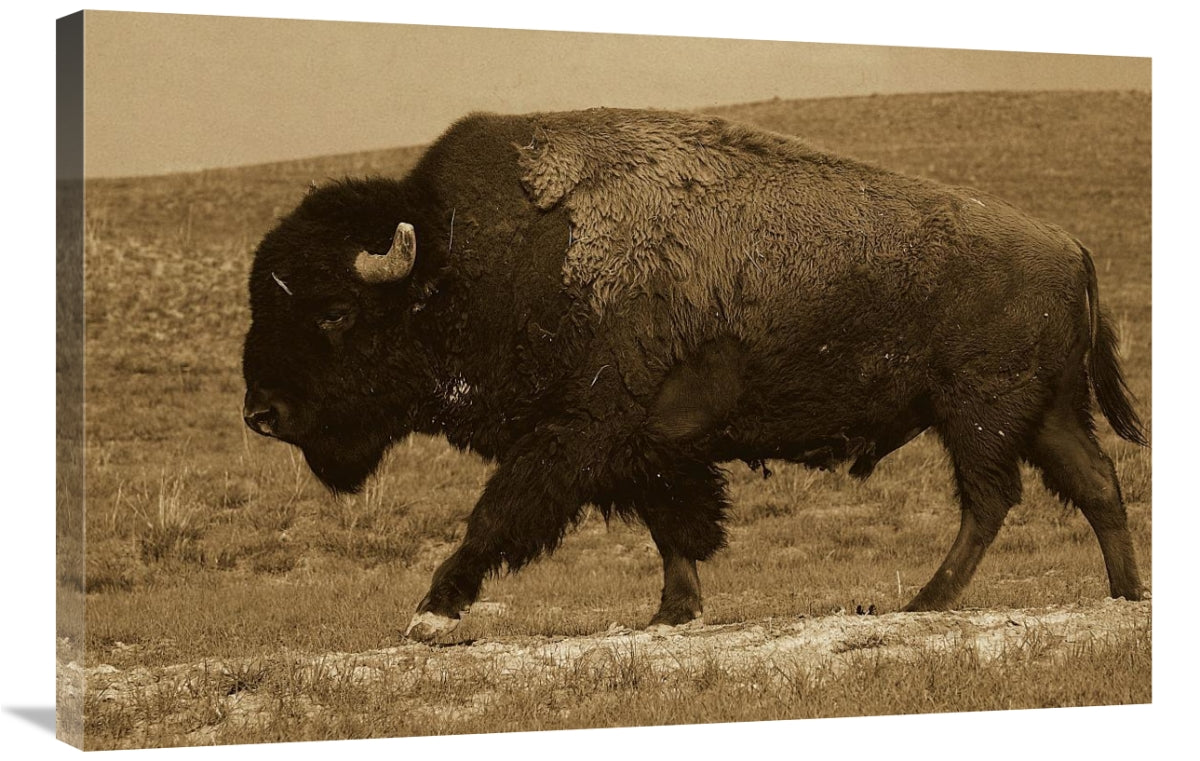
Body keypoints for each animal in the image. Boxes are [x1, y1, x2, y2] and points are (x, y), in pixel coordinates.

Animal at [242, 108, 1148, 641]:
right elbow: (672, 527)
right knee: (1094, 481)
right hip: (1042, 411)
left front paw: (431, 610)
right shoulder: (648, 446)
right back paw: (1124, 593)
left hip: (979, 409)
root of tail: (1070, 245)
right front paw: (674, 609)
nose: (262, 412)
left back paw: (929, 600)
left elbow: (497, 512)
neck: (464, 254)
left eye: (335, 312)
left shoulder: (577, 433)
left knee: (992, 498)